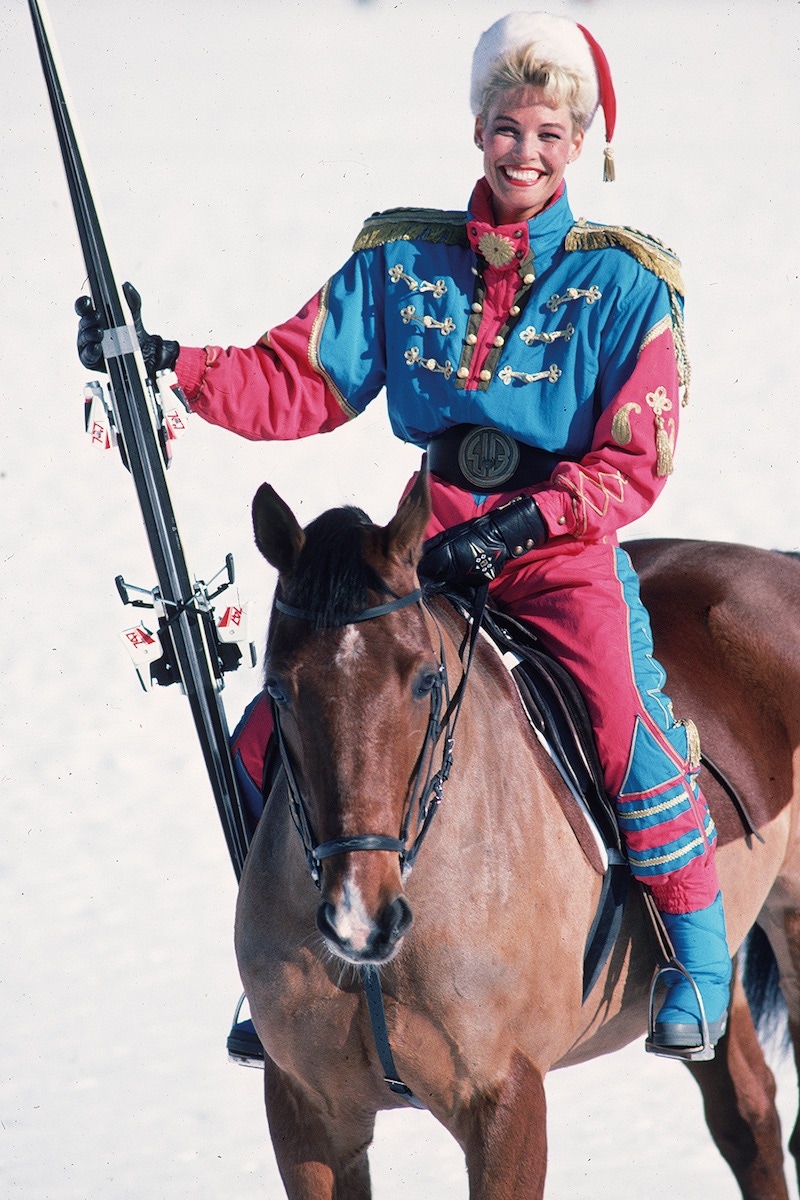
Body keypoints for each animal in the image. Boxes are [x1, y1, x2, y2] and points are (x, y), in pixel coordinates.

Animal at [235, 470, 800, 1200]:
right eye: (277, 689)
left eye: (425, 680)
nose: (359, 916)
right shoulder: (305, 1108)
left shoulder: (506, 1098)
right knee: (747, 1114)